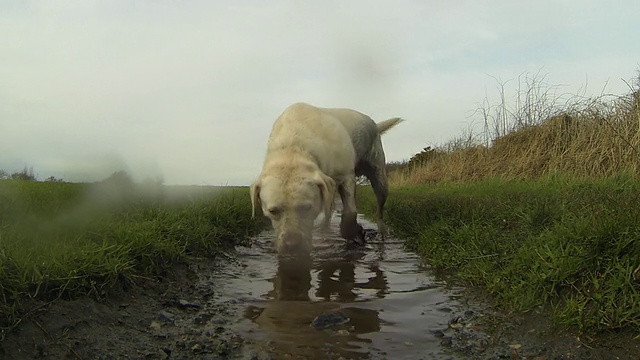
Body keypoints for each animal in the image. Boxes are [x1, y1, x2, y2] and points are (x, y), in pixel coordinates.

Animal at [250, 102, 400, 255]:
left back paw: (381, 233)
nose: (292, 246)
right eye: (272, 211)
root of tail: (374, 124)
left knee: (380, 209)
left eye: (306, 207)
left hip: (379, 176)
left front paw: (356, 232)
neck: (294, 148)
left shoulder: (346, 176)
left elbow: (350, 212)